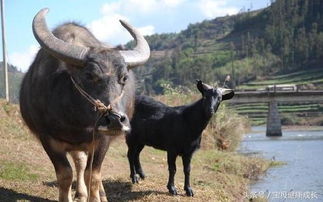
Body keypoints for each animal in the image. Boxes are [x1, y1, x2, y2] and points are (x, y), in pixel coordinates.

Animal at [19, 8, 151, 202]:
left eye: (124, 78)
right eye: (89, 75)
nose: (115, 120)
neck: (75, 120)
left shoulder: (102, 139)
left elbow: (93, 174)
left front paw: (96, 196)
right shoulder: (47, 138)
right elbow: (65, 174)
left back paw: (99, 194)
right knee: (79, 162)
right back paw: (80, 193)